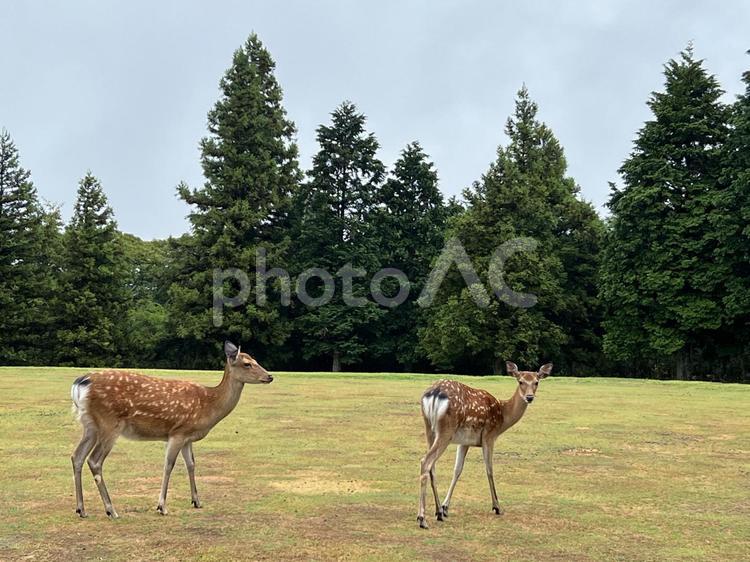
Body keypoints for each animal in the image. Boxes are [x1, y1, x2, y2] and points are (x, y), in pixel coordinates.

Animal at [70, 341, 273, 518]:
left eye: (255, 360)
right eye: (247, 363)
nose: (270, 376)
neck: (208, 405)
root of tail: (81, 383)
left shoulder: (188, 437)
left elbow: (191, 464)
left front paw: (197, 501)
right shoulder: (177, 432)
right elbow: (169, 465)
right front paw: (162, 507)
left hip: (90, 425)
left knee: (77, 456)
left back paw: (81, 510)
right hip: (109, 423)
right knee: (94, 460)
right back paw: (111, 510)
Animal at [416, 361, 552, 528]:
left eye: (536, 382)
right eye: (520, 381)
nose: (529, 397)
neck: (503, 416)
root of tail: (434, 393)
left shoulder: (464, 442)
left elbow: (457, 470)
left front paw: (445, 507)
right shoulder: (489, 435)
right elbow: (489, 469)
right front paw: (497, 506)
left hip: (429, 428)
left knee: (432, 467)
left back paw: (438, 513)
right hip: (446, 430)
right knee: (426, 461)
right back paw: (422, 519)